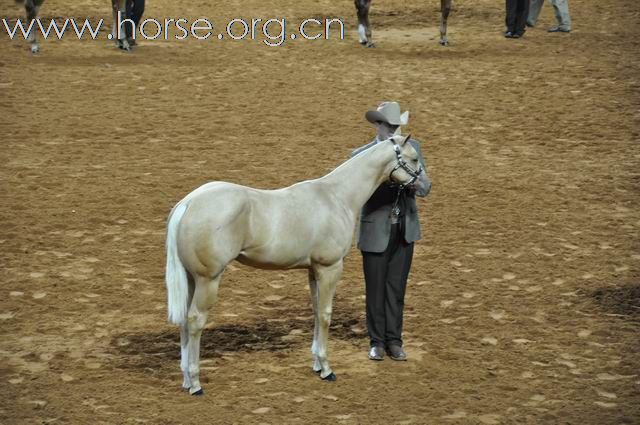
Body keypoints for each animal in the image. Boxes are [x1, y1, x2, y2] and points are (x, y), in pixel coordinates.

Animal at [165, 133, 428, 394]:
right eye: (414, 159)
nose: (426, 186)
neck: (337, 197)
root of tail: (188, 203)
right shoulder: (330, 268)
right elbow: (325, 314)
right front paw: (327, 369)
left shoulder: (313, 270)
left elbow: (316, 311)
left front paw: (317, 365)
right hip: (208, 280)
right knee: (195, 320)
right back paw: (195, 383)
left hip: (192, 279)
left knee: (184, 321)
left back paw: (186, 380)